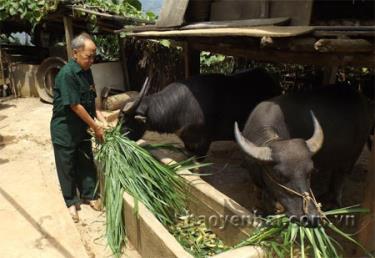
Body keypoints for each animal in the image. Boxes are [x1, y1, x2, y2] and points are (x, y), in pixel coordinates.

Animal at [236, 86, 374, 226]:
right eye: (279, 175)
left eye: (310, 172)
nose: (311, 217)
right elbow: (259, 194)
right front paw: (260, 210)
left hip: (353, 154)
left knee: (341, 176)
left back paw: (334, 203)